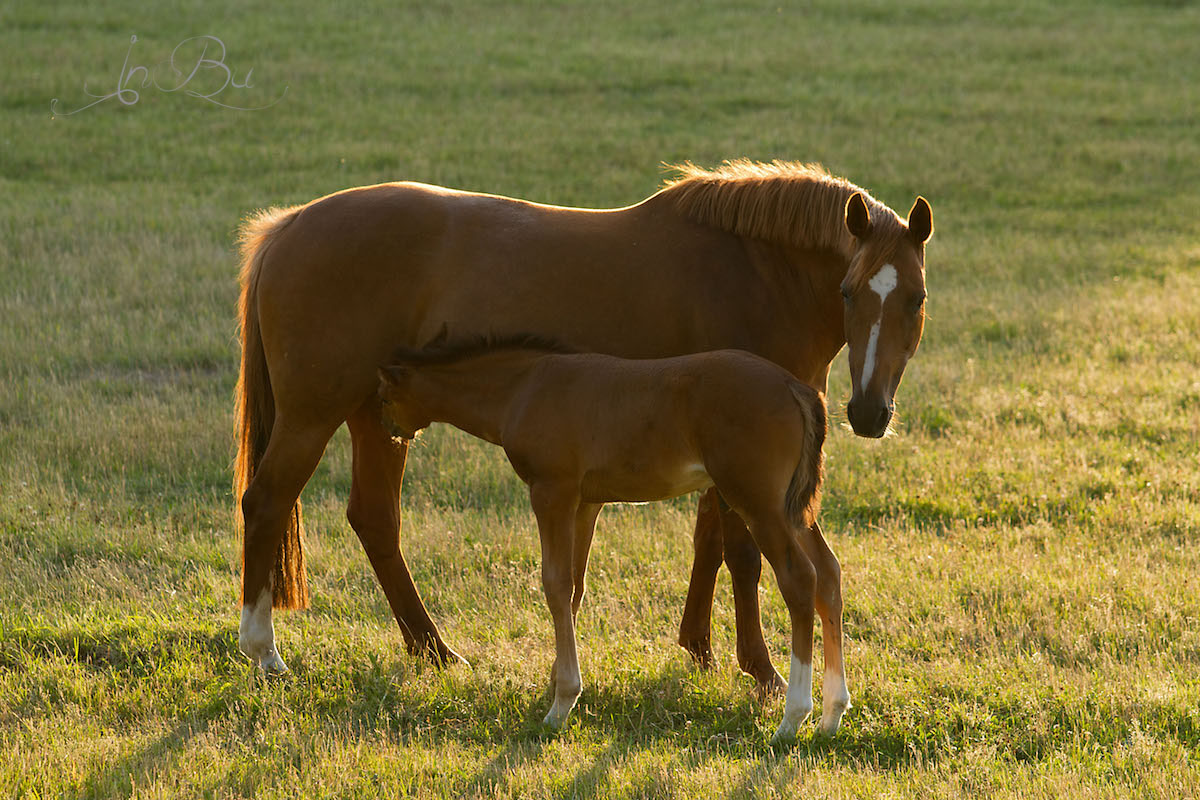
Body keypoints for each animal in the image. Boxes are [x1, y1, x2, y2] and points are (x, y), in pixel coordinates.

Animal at [376, 340, 844, 743]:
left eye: (383, 396)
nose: (392, 433)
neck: (521, 389)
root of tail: (795, 387)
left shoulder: (552, 492)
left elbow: (555, 584)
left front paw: (561, 704)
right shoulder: (585, 503)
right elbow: (575, 587)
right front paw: (557, 686)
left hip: (758, 503)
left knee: (800, 579)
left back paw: (793, 716)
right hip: (794, 510)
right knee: (829, 574)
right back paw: (832, 714)